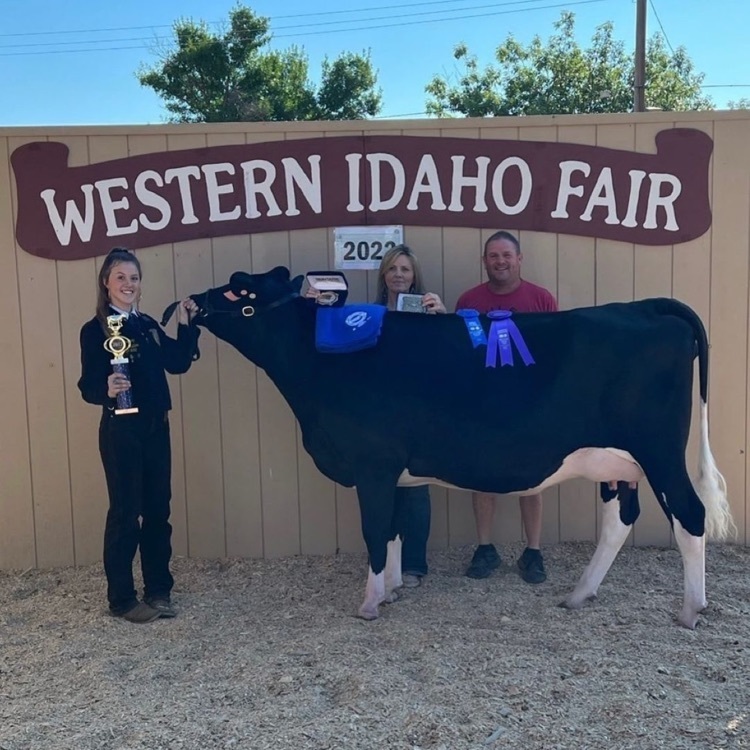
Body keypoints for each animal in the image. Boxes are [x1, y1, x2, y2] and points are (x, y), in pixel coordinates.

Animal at [181, 264, 736, 628]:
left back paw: (690, 610)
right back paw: (579, 594)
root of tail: (647, 306)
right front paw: (393, 590)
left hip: (660, 450)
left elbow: (375, 530)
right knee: (620, 519)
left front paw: (369, 603)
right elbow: (396, 528)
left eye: (239, 287)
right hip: (618, 462)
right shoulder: (395, 469)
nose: (193, 301)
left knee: (689, 514)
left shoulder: (372, 463)